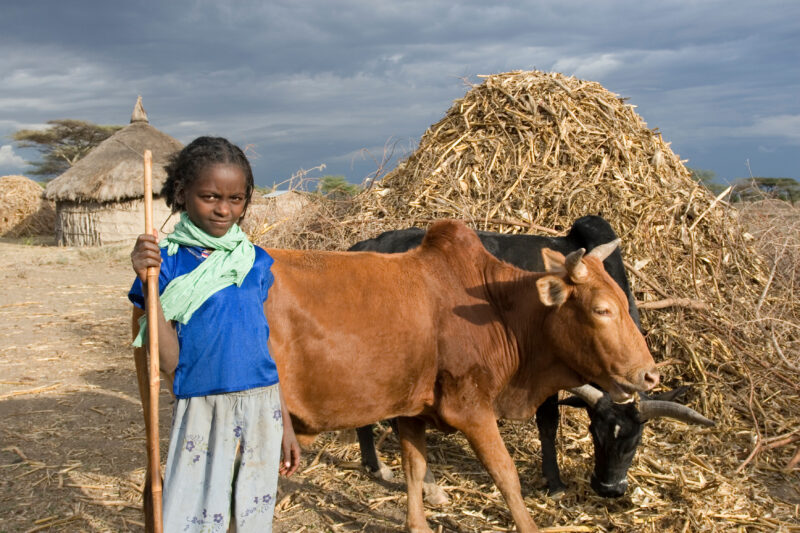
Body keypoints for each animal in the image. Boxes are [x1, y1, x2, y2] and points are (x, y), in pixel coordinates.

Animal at [266, 219, 659, 533]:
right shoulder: (472, 409)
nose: (649, 375)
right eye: (601, 310)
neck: (501, 311)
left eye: (623, 301)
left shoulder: (412, 410)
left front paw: (419, 520)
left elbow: (415, 467)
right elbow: (506, 474)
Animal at [348, 216, 713, 500]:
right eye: (596, 432)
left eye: (636, 440)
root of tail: (362, 245)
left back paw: (374, 465)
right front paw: (554, 482)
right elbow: (548, 423)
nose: (609, 489)